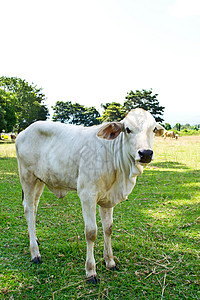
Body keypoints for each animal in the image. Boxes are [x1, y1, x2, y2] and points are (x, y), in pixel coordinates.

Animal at [15, 108, 164, 284]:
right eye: (128, 129)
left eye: (153, 129)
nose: (145, 153)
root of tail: (24, 131)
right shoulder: (87, 195)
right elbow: (91, 232)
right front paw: (91, 271)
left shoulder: (107, 200)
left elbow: (108, 228)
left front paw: (110, 261)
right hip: (27, 177)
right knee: (28, 209)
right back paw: (35, 252)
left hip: (40, 181)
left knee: (34, 207)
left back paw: (35, 238)